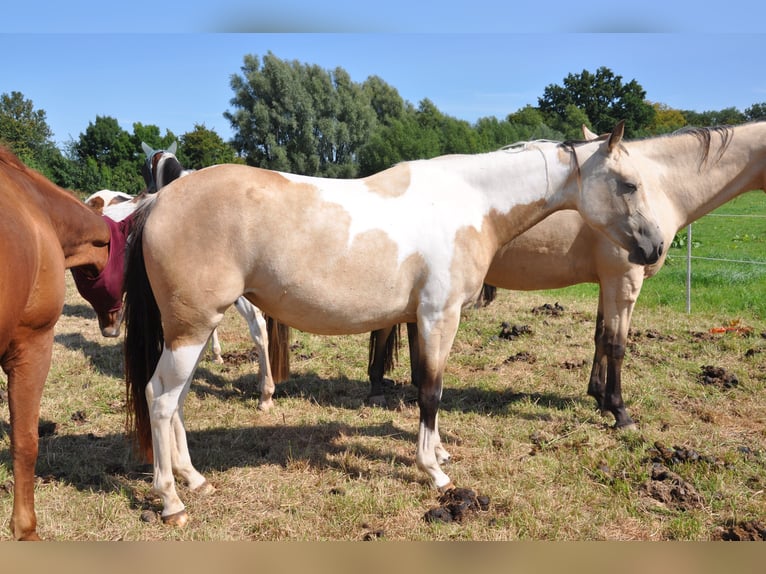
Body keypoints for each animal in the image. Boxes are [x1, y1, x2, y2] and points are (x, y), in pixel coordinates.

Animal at [121, 121, 665, 526]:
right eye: (629, 184)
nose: (656, 247)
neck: (467, 203)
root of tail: (158, 202)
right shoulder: (438, 316)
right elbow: (431, 391)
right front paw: (433, 472)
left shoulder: (422, 320)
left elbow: (426, 386)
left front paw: (438, 454)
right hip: (191, 330)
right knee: (160, 400)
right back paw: (172, 501)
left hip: (193, 331)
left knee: (175, 402)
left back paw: (194, 479)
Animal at [360, 121, 766, 430]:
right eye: (630, 186)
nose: (654, 246)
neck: (663, 187)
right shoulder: (624, 281)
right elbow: (617, 344)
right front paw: (619, 411)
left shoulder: (608, 283)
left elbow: (600, 337)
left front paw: (598, 396)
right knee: (386, 326)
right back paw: (379, 386)